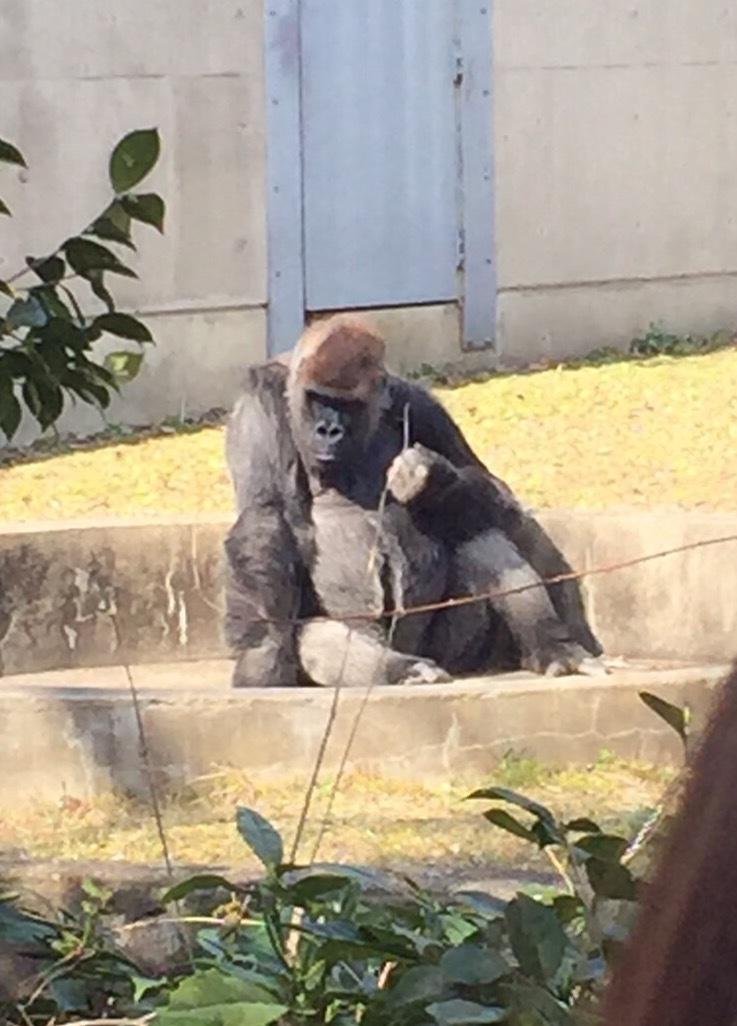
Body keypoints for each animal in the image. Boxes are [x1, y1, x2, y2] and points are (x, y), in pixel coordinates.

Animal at [224, 311, 607, 689]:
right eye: (319, 399)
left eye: (349, 405)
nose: (328, 430)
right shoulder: (261, 402)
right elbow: (264, 515)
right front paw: (265, 655)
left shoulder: (420, 403)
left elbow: (488, 481)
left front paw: (433, 480)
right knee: (316, 637)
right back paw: (399, 668)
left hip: (450, 650)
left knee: (475, 528)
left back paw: (553, 646)